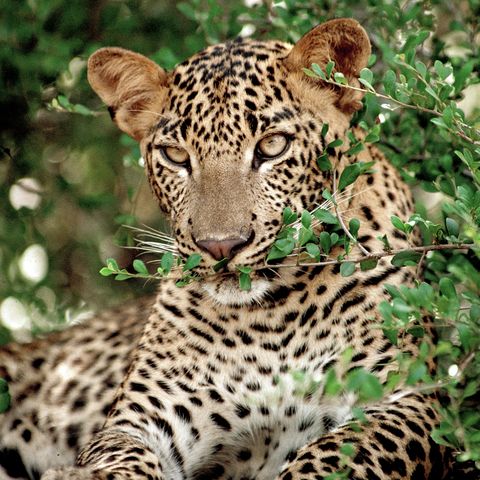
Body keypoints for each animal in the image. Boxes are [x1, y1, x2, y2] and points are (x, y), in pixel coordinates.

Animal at [0, 18, 458, 480]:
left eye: (272, 146)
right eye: (175, 155)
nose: (221, 246)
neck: (272, 319)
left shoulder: (407, 398)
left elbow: (334, 457)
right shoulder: (141, 419)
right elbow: (121, 459)